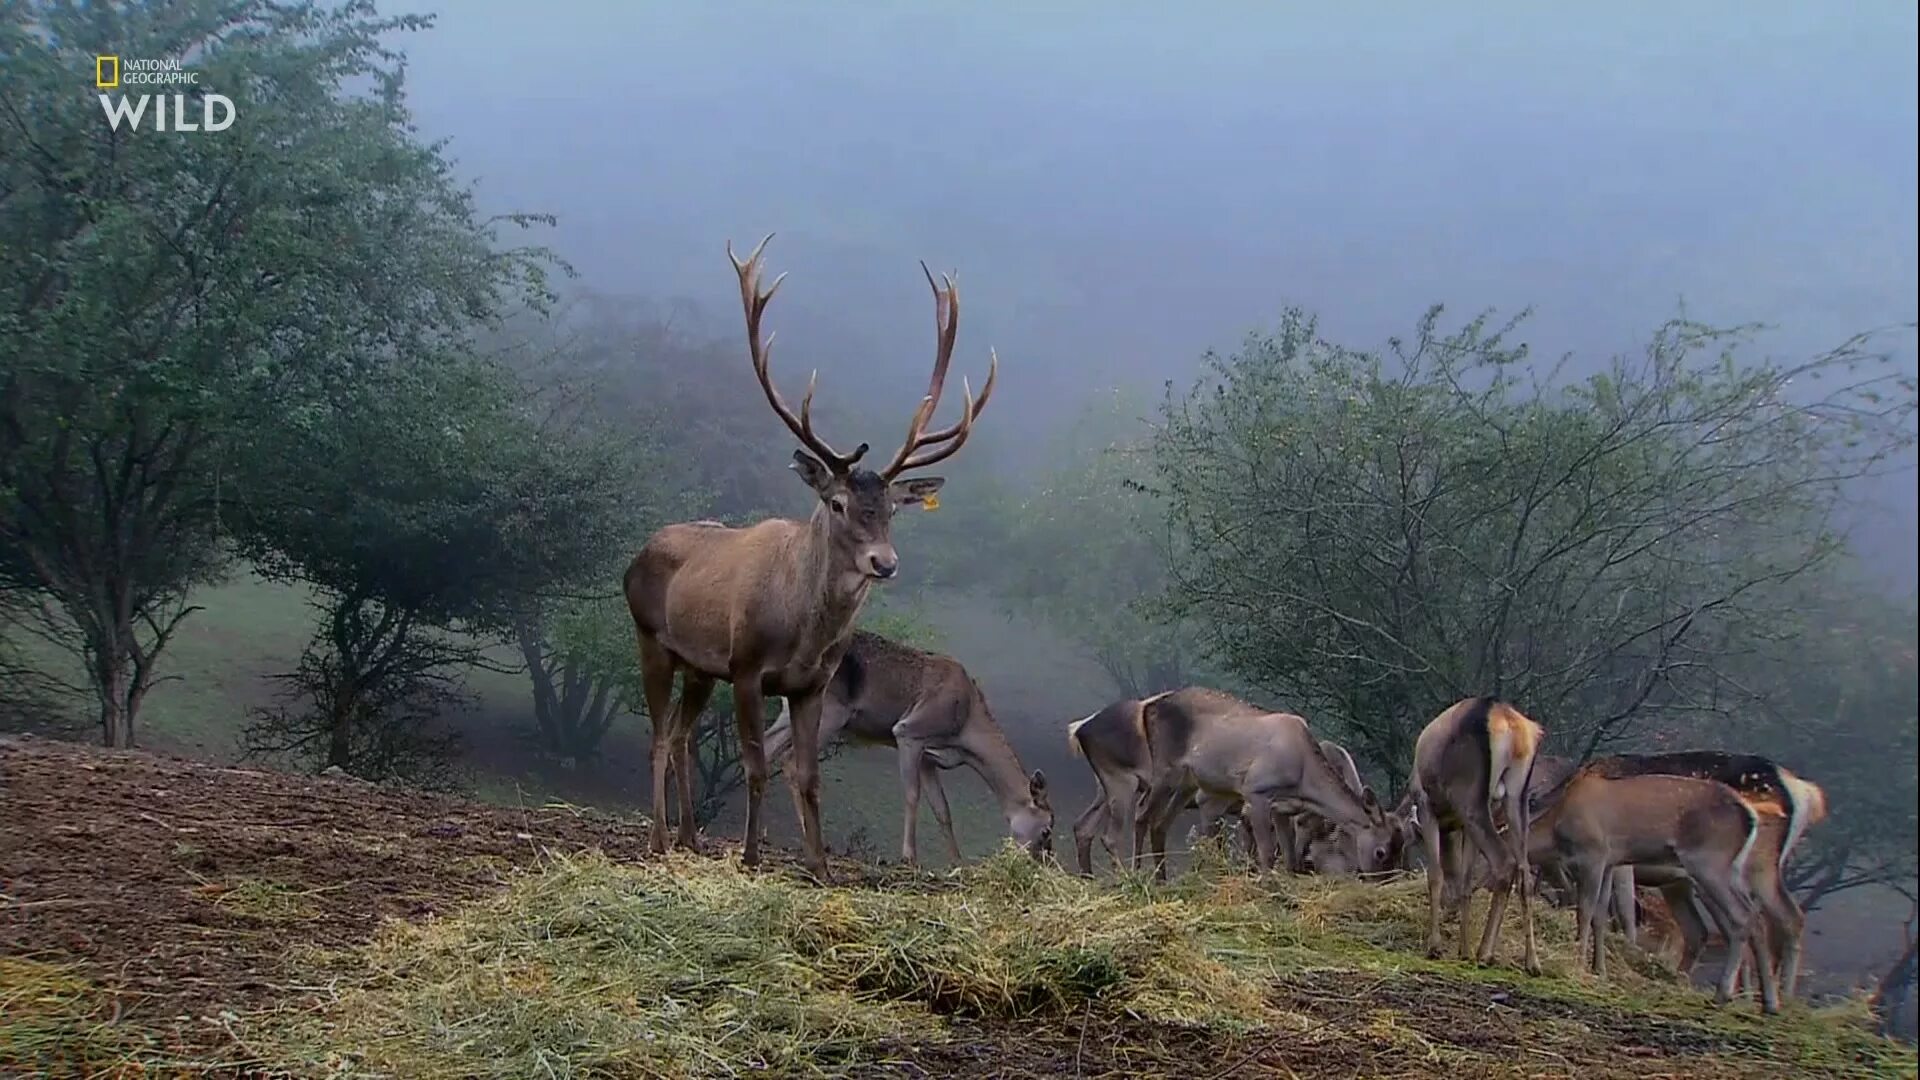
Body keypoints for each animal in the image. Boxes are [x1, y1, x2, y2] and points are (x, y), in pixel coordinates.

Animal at [622, 233, 998, 876]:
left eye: (892, 508)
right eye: (839, 503)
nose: (884, 563)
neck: (800, 632)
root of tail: (637, 554)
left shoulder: (812, 686)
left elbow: (808, 775)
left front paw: (819, 868)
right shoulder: (746, 667)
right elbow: (754, 765)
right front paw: (751, 857)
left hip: (699, 665)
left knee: (681, 735)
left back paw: (690, 837)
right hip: (652, 638)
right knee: (657, 734)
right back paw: (657, 838)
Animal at [1128, 687, 1390, 876]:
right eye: (1381, 852)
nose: (1376, 878)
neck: (1303, 779)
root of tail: (1146, 708)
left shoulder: (1283, 808)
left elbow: (1288, 858)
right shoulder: (1255, 791)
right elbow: (1266, 853)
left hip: (1187, 782)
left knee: (1160, 823)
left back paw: (1161, 878)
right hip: (1166, 769)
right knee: (1141, 813)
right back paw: (1135, 875)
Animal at [1413, 691, 1543, 972]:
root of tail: (1508, 722)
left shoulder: (1427, 807)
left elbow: (1436, 874)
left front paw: (1435, 947)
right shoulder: (1463, 827)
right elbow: (1465, 881)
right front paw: (1463, 950)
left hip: (1470, 796)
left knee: (1504, 861)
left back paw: (1485, 953)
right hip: (1516, 799)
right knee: (1525, 872)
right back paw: (1532, 962)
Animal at [1528, 764, 1781, 1006]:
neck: (1556, 829)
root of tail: (1750, 815)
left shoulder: (1594, 854)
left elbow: (1586, 911)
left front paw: (1578, 963)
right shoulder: (1610, 862)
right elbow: (1600, 917)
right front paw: (1599, 969)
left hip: (1710, 862)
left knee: (1741, 918)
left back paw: (1724, 993)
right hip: (1718, 874)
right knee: (1750, 920)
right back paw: (1768, 1002)